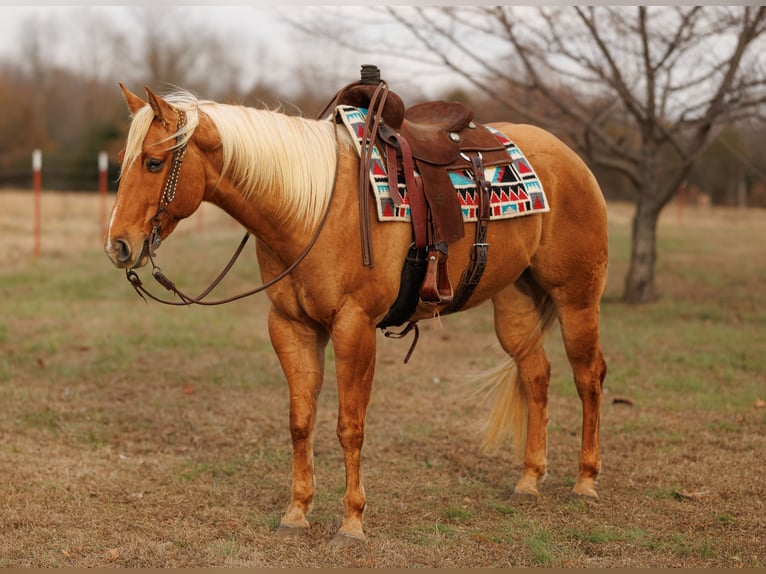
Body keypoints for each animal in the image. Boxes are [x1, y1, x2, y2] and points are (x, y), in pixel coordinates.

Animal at [104, 82, 608, 546]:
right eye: (123, 162)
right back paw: (529, 479)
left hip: (577, 299)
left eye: (153, 162)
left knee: (589, 376)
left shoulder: (354, 327)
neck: (310, 209)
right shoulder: (291, 326)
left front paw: (351, 522)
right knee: (537, 375)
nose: (119, 245)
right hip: (516, 303)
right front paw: (297, 512)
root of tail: (570, 158)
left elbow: (350, 426)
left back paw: (585, 481)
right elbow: (300, 421)